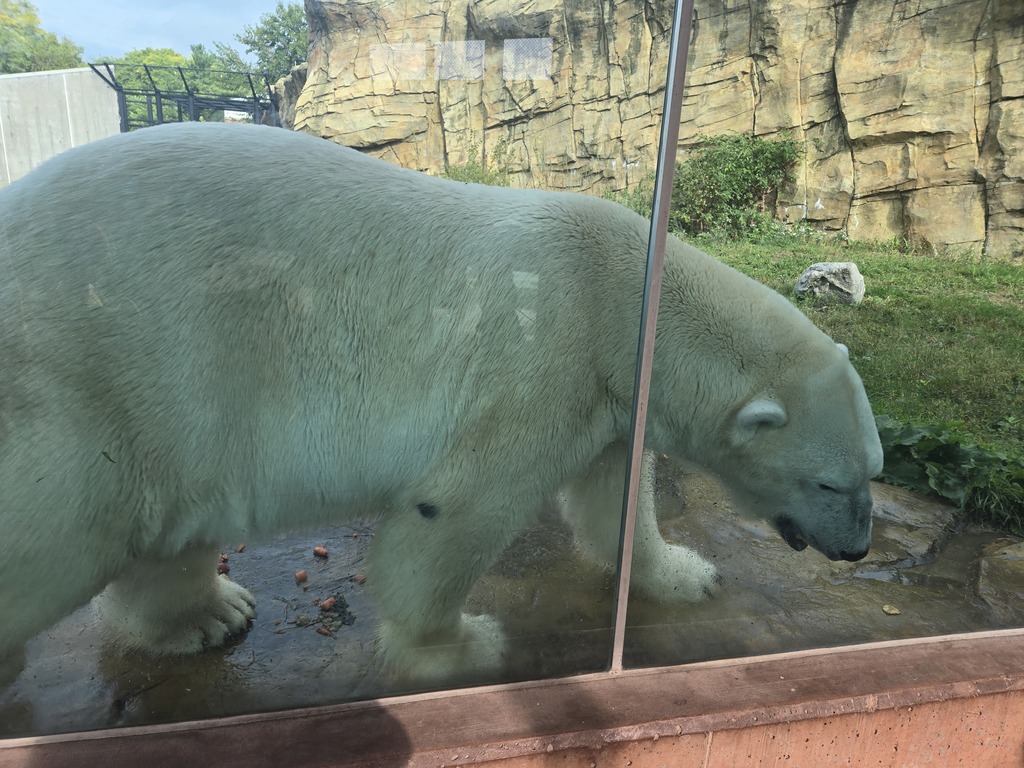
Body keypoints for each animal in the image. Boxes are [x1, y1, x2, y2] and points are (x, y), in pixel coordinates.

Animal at [0, 122, 883, 689]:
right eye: (829, 483)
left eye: (873, 471)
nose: (857, 551)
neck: (627, 295)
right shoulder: (542, 355)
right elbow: (458, 508)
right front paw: (461, 649)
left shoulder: (604, 393)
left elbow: (615, 503)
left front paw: (686, 573)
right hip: (97, 374)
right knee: (58, 528)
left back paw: (210, 614)